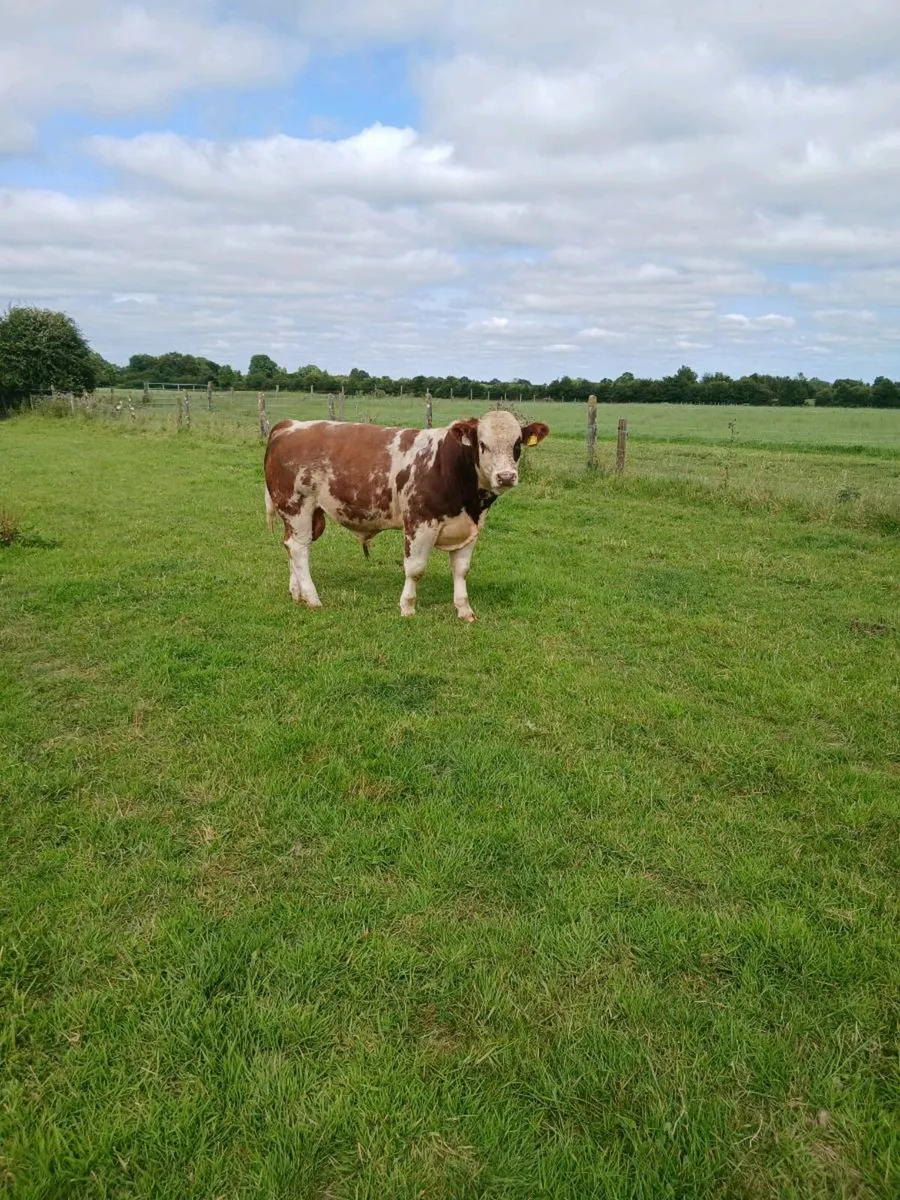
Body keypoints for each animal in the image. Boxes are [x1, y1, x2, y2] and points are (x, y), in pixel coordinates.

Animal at [263, 410, 550, 621]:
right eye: (483, 444)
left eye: (517, 444)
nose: (506, 476)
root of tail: (290, 425)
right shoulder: (419, 523)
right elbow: (415, 569)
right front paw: (408, 607)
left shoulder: (469, 529)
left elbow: (461, 570)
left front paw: (464, 610)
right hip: (296, 506)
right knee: (299, 548)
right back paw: (312, 598)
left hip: (310, 515)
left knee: (293, 547)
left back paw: (297, 593)